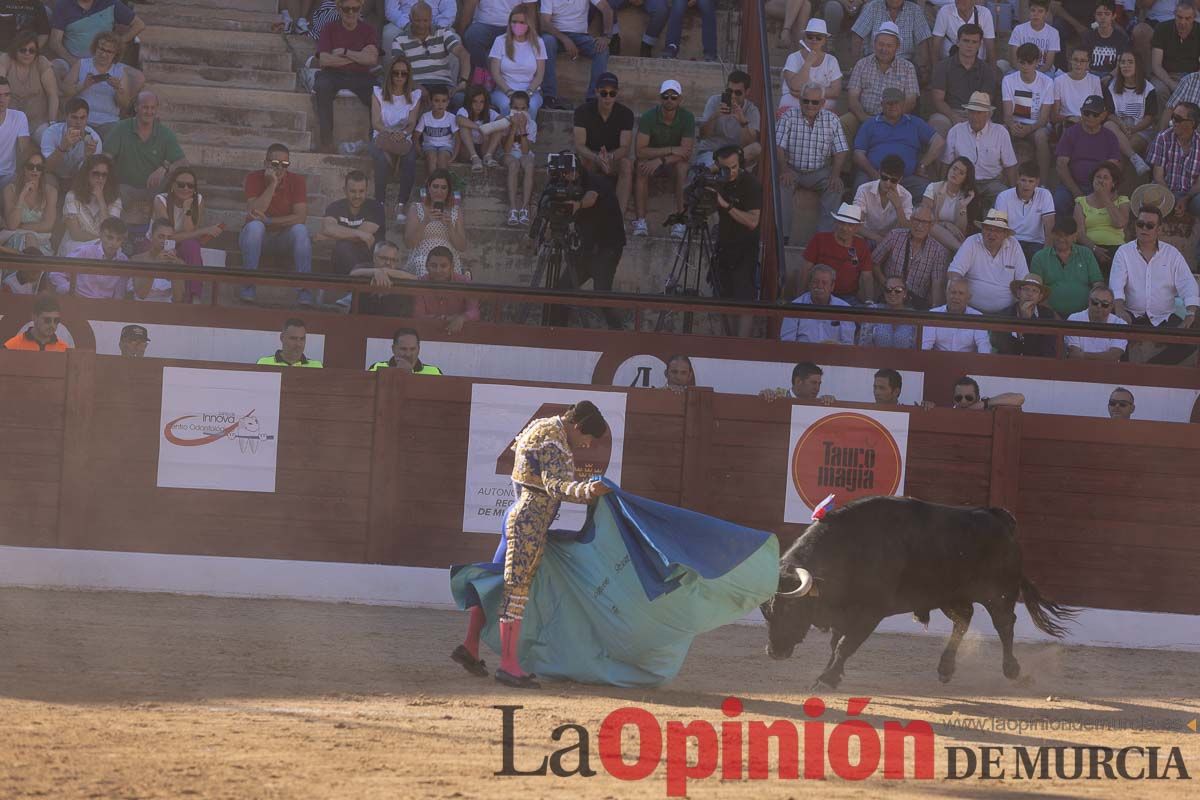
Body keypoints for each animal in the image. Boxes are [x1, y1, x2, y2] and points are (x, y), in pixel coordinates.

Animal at [763, 494, 1084, 690]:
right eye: (767, 612)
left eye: (790, 609)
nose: (774, 652)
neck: (849, 549)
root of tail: (999, 518)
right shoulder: (844, 612)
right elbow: (836, 644)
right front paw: (834, 675)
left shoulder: (870, 613)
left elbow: (844, 645)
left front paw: (826, 680)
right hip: (948, 594)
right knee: (964, 619)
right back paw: (945, 668)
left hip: (999, 594)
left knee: (1005, 625)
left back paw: (1012, 670)